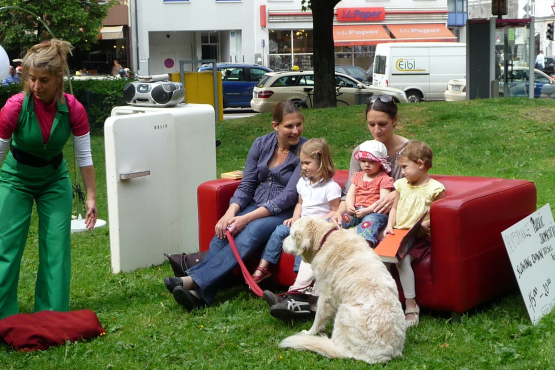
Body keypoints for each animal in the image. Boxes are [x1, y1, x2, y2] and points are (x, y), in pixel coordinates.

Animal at [280, 217, 406, 364]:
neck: (325, 239)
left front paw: (310, 332)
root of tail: (387, 354)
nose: (282, 242)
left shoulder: (326, 296)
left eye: (291, 235)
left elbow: (318, 318)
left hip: (344, 311)